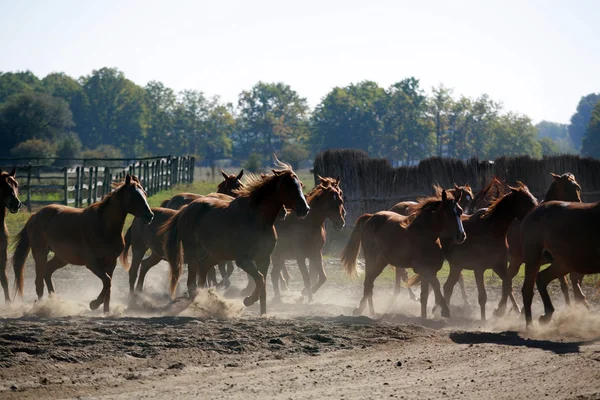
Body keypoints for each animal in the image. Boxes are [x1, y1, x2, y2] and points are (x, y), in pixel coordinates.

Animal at [13, 174, 151, 312]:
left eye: (145, 193)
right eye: (132, 195)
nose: (149, 216)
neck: (103, 227)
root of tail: (35, 215)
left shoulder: (111, 263)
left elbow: (109, 287)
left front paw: (106, 311)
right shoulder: (92, 263)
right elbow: (107, 281)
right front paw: (94, 304)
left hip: (62, 258)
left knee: (47, 272)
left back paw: (54, 300)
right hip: (40, 253)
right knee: (39, 282)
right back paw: (43, 306)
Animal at [159, 162, 310, 316]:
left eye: (300, 184)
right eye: (288, 187)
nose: (305, 209)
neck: (256, 219)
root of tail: (184, 209)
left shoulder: (264, 259)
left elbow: (263, 286)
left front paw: (263, 313)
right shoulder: (243, 260)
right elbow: (260, 279)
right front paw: (248, 300)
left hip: (216, 254)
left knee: (204, 267)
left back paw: (205, 299)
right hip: (193, 252)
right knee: (192, 281)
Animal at [340, 190, 466, 318]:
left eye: (460, 211)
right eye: (448, 212)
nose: (461, 235)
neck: (425, 236)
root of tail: (370, 217)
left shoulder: (429, 270)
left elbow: (425, 294)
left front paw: (424, 316)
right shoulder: (424, 269)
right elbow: (436, 286)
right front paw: (445, 310)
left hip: (381, 262)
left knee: (370, 284)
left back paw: (368, 311)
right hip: (372, 260)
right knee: (368, 284)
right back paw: (366, 311)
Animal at [440, 184, 540, 318]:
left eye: (535, 201)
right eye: (526, 203)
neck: (492, 230)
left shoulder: (499, 265)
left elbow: (507, 284)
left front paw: (501, 310)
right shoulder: (478, 269)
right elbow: (483, 297)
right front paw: (484, 319)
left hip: (457, 266)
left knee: (448, 286)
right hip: (456, 265)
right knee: (447, 286)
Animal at [516, 200, 600, 328]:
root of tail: (532, 211)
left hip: (563, 263)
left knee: (542, 278)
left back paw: (547, 315)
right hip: (533, 258)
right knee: (528, 290)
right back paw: (530, 326)